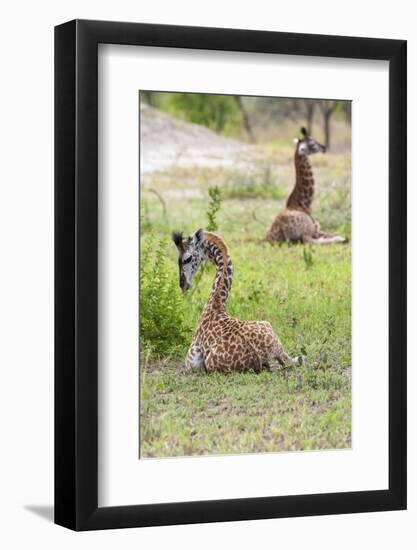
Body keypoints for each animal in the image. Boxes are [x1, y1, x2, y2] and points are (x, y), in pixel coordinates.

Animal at [171, 229, 290, 376]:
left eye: (187, 259)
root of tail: (262, 357)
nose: (183, 285)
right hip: (273, 334)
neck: (216, 302)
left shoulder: (191, 359)